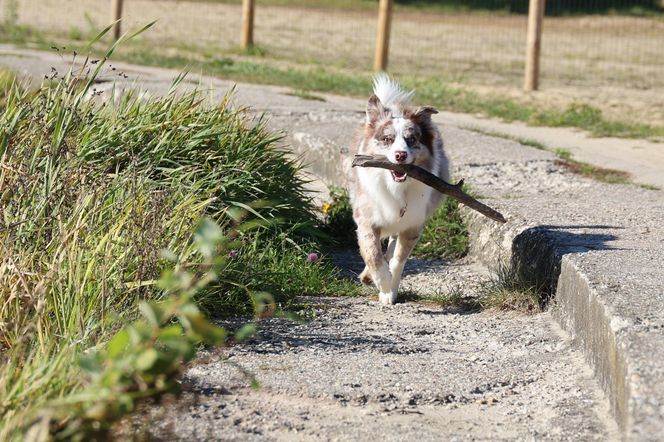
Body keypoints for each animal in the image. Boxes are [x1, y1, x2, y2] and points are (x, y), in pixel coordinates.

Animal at [348, 75, 452, 304]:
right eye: (387, 139)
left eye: (411, 139)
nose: (400, 155)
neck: (395, 187)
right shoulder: (366, 218)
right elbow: (373, 255)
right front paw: (382, 282)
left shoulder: (413, 224)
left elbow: (397, 261)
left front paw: (390, 291)